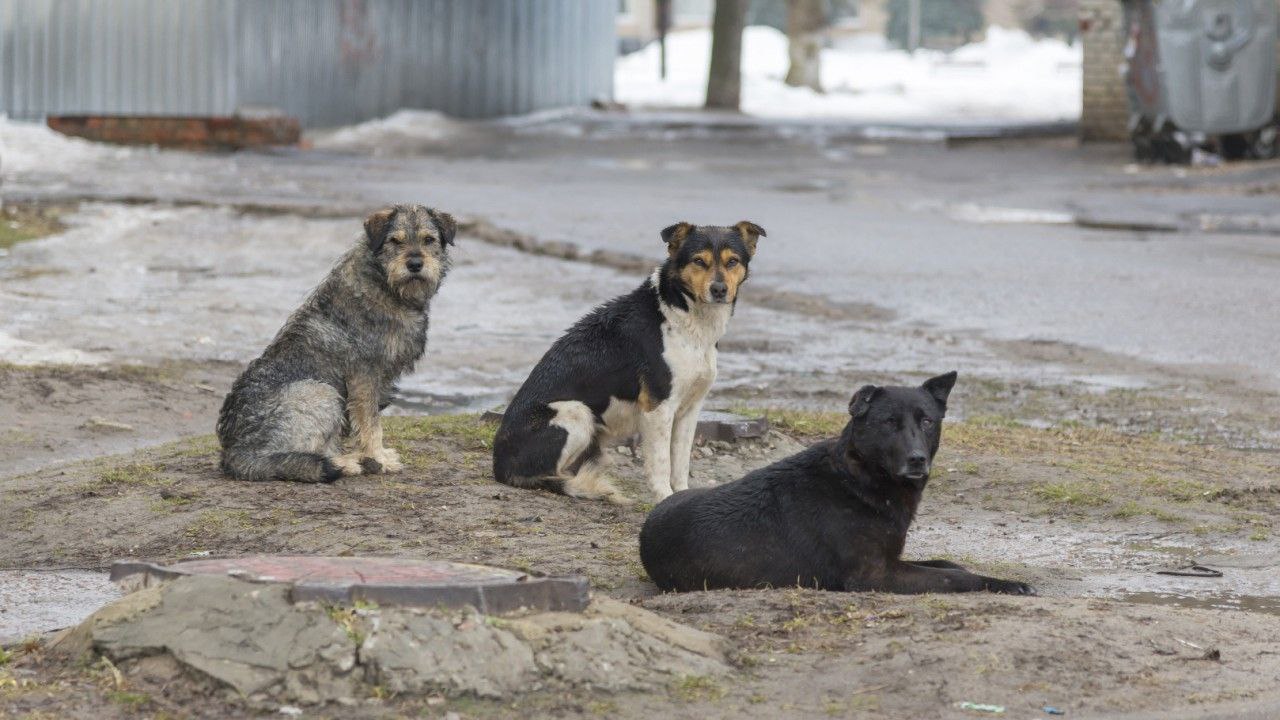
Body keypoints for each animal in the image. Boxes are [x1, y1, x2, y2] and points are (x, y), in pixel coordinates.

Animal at [494, 221, 762, 502]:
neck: (683, 314)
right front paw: (664, 498)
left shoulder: (690, 408)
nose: (719, 290)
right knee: (550, 474)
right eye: (699, 261)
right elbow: (661, 464)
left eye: (732, 261)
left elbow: (680, 463)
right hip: (576, 411)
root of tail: (499, 465)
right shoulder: (658, 407)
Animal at [637, 368, 1029, 594]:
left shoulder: (893, 559)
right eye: (889, 422)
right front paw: (1005, 584)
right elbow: (956, 577)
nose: (918, 459)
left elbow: (948, 564)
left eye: (927, 421)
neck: (857, 479)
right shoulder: (875, 575)